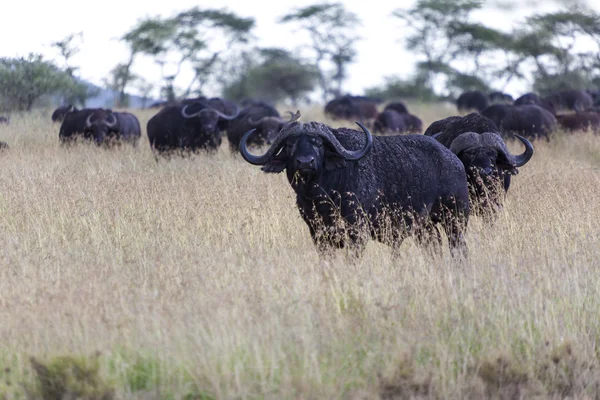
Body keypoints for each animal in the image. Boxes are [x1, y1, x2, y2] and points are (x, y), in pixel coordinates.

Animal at [239, 112, 468, 255]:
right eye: (289, 144)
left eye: (318, 143)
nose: (305, 162)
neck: (321, 195)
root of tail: (454, 160)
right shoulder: (317, 233)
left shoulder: (357, 232)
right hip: (425, 227)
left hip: (455, 219)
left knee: (458, 248)